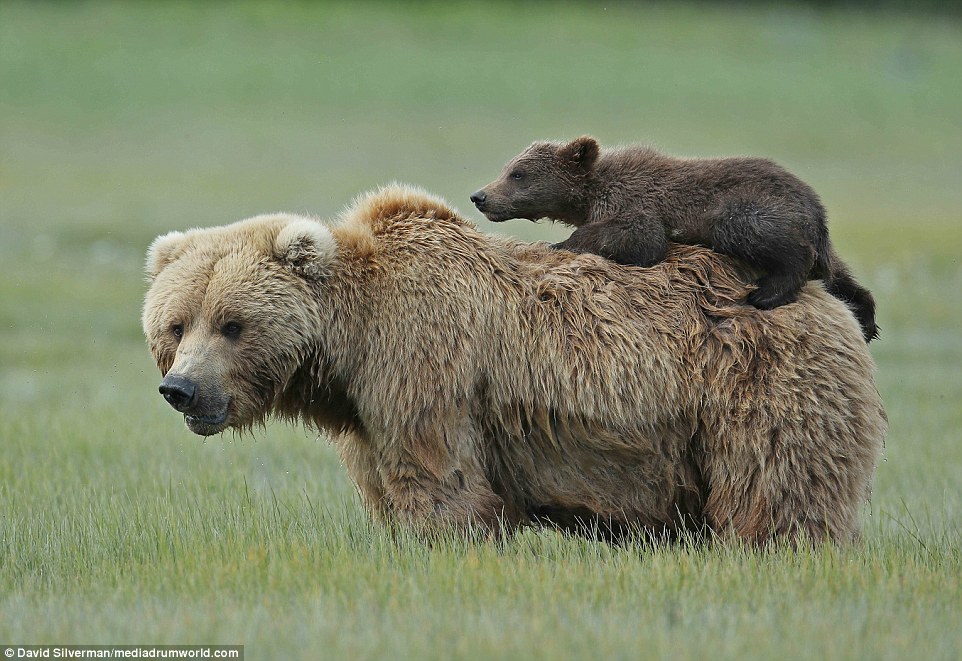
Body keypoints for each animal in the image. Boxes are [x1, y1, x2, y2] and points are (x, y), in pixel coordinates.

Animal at [142, 184, 884, 540]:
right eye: (176, 324)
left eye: (233, 324)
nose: (183, 388)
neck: (349, 349)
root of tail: (825, 297)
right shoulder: (365, 413)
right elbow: (387, 486)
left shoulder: (424, 366)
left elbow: (441, 481)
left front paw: (445, 538)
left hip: (757, 385)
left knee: (780, 489)